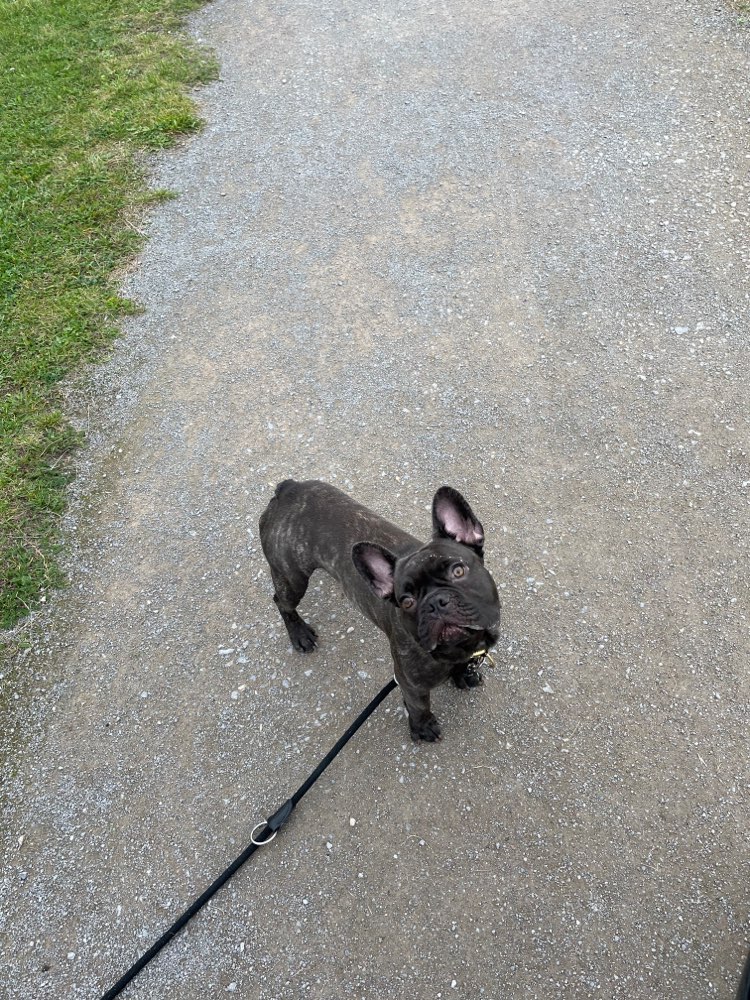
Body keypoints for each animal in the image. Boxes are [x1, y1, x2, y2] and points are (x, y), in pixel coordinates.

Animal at [262, 480, 502, 740]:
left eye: (458, 571)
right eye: (406, 602)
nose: (435, 602)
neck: (461, 647)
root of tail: (289, 489)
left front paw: (463, 675)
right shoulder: (409, 683)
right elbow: (419, 706)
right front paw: (423, 727)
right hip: (292, 578)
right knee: (282, 602)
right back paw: (299, 634)